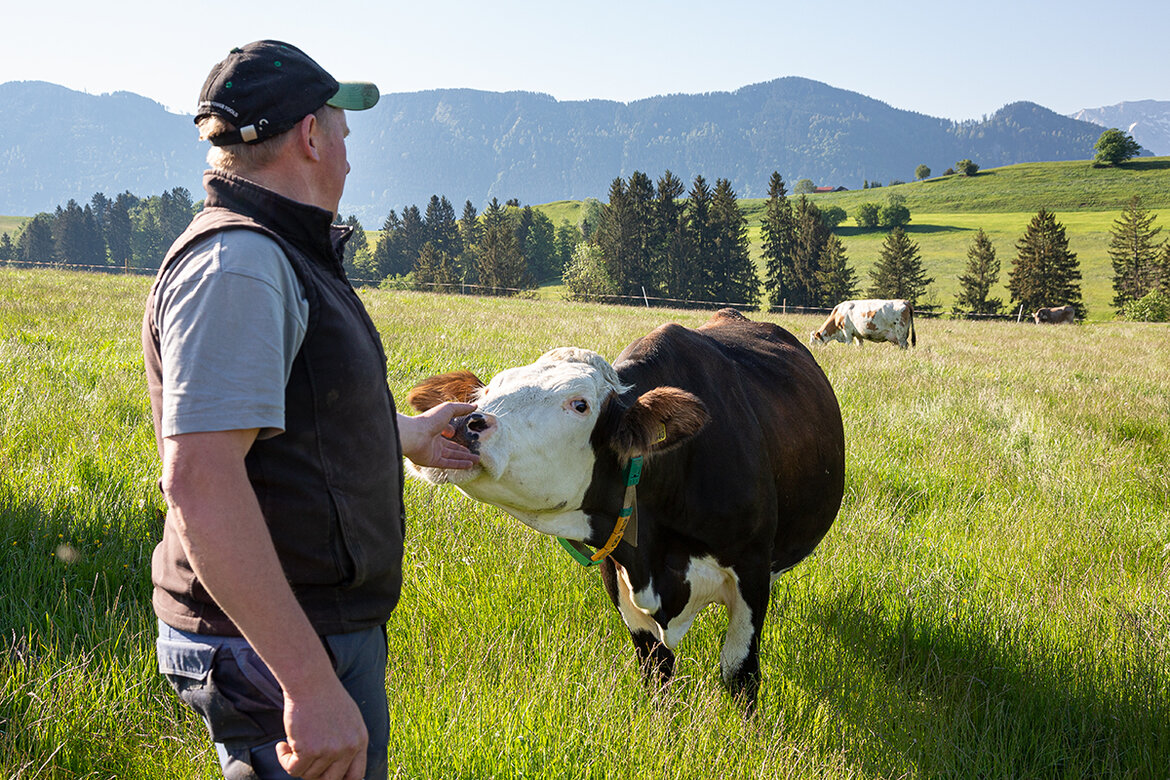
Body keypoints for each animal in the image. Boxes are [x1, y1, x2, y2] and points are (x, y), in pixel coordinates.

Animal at [402, 308, 842, 706]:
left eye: (580, 405)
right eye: (487, 393)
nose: (461, 425)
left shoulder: (750, 569)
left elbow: (739, 673)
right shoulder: (618, 573)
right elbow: (655, 671)